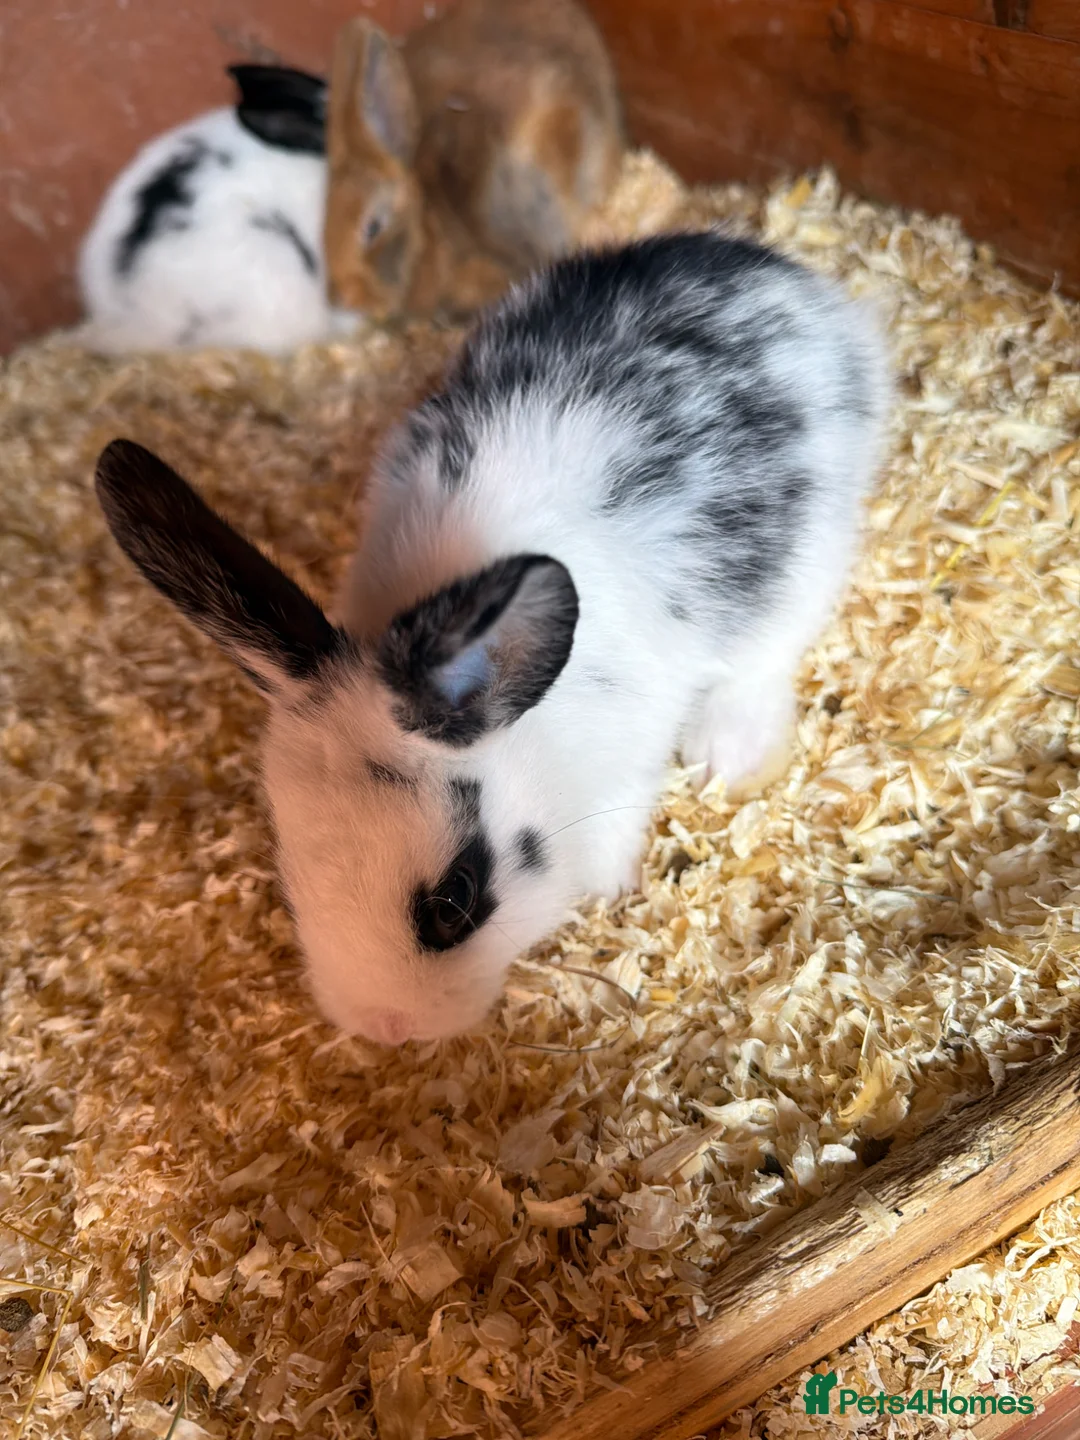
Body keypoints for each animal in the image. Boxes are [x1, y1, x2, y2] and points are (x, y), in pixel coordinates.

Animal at [93, 231, 891, 1047]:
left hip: (812, 557)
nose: (387, 1027)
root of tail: (784, 276)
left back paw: (732, 756)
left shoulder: (626, 769)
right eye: (291, 886)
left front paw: (609, 891)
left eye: (455, 902)